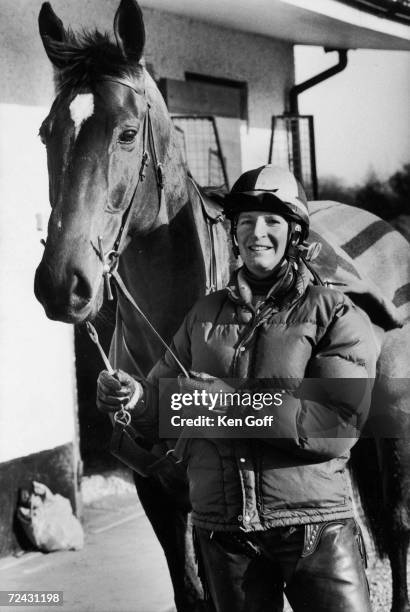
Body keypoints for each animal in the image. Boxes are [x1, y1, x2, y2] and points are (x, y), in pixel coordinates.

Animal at [35, 2, 410, 608]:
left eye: (127, 133)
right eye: (47, 132)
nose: (60, 282)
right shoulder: (164, 496)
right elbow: (194, 592)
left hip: (396, 422)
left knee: (398, 527)